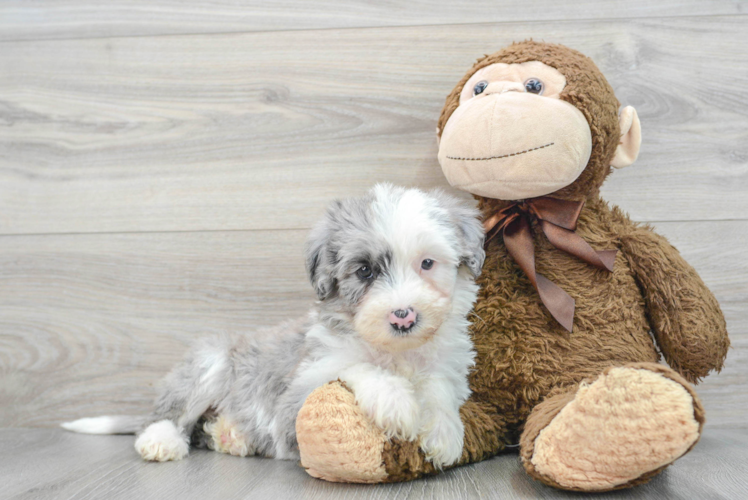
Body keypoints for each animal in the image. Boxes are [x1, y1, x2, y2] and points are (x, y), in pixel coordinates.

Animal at [62, 184, 486, 468]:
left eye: (427, 263)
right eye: (364, 271)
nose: (404, 316)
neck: (396, 352)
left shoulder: (447, 368)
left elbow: (437, 387)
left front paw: (444, 433)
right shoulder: (296, 397)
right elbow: (355, 366)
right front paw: (397, 401)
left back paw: (229, 436)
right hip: (210, 362)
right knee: (165, 417)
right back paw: (162, 441)